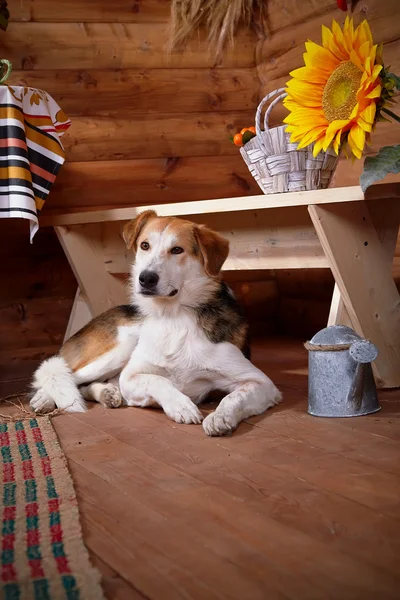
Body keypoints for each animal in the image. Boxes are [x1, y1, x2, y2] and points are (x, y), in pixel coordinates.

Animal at [29, 211, 282, 436]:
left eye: (177, 249)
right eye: (145, 245)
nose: (146, 278)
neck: (173, 316)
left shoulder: (261, 383)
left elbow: (233, 397)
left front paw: (220, 417)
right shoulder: (131, 377)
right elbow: (158, 380)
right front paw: (181, 405)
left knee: (81, 383)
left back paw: (106, 394)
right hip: (119, 348)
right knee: (60, 373)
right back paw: (44, 398)